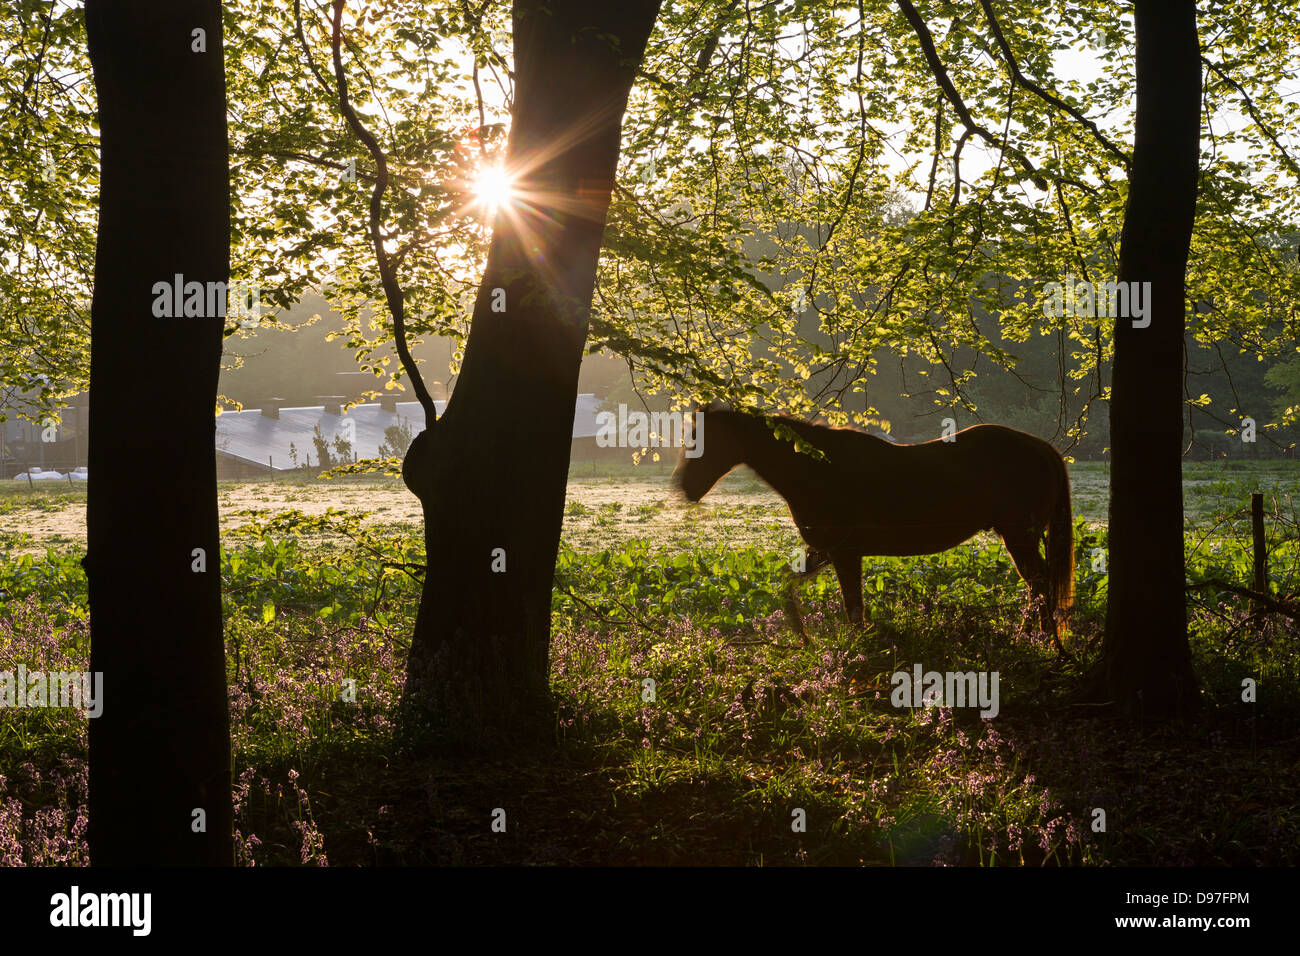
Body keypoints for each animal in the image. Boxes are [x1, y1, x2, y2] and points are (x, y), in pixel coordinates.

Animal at [676, 403, 1071, 650]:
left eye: (705, 440)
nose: (685, 487)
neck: (815, 468)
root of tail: (1042, 448)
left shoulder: (844, 553)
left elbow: (853, 606)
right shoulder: (824, 550)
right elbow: (788, 590)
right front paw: (804, 639)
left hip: (1019, 537)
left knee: (1038, 583)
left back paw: (1035, 638)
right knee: (1038, 585)